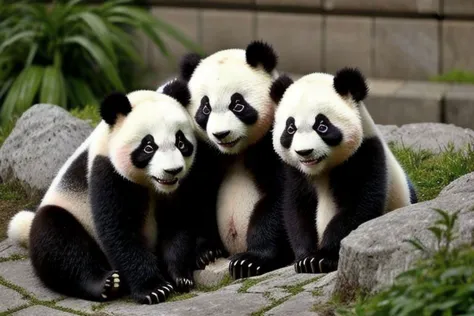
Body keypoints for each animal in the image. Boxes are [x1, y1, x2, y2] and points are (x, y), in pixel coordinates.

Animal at [8, 81, 199, 304]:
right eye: (148, 147)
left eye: (181, 142)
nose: (172, 170)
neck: (152, 185)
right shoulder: (106, 170)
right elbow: (118, 230)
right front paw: (153, 289)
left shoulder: (178, 186)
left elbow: (178, 220)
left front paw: (180, 276)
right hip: (69, 212)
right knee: (57, 241)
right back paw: (105, 284)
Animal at [172, 40, 294, 280]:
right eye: (205, 108)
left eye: (237, 105)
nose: (221, 134)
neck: (236, 152)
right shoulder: (205, 152)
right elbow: (197, 198)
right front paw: (206, 253)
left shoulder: (275, 142)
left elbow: (279, 197)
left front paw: (250, 261)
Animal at [268, 67, 416, 274]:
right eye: (291, 128)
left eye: (322, 126)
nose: (305, 152)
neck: (320, 171)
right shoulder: (296, 173)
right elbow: (297, 210)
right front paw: (304, 259)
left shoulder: (365, 155)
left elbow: (358, 208)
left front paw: (320, 258)